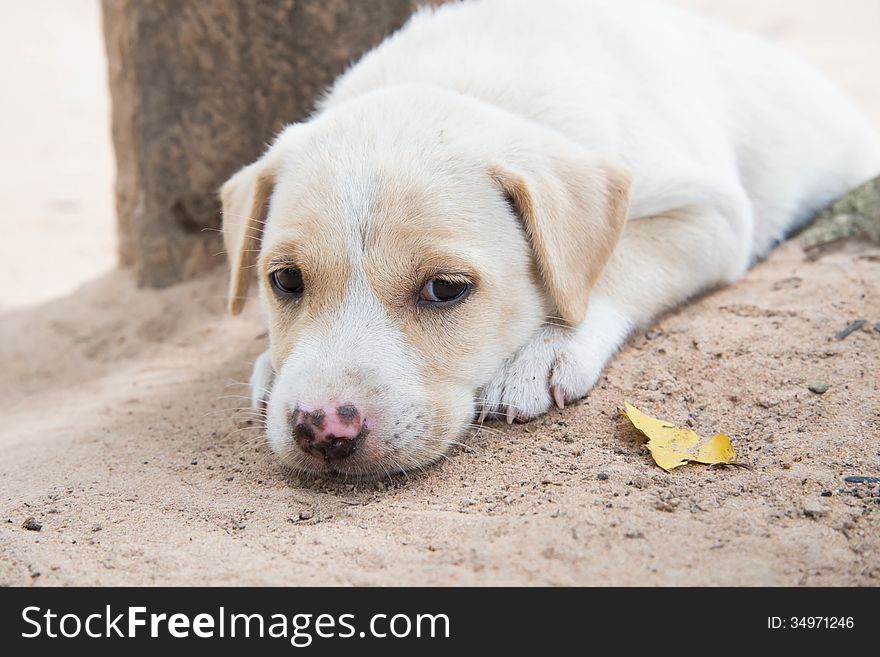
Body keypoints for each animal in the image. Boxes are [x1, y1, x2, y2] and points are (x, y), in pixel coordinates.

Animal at [220, 0, 880, 474]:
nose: (321, 429)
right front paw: (271, 363)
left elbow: (615, 262)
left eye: (445, 289)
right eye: (285, 280)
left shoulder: (712, 214)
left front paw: (543, 351)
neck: (467, 82)